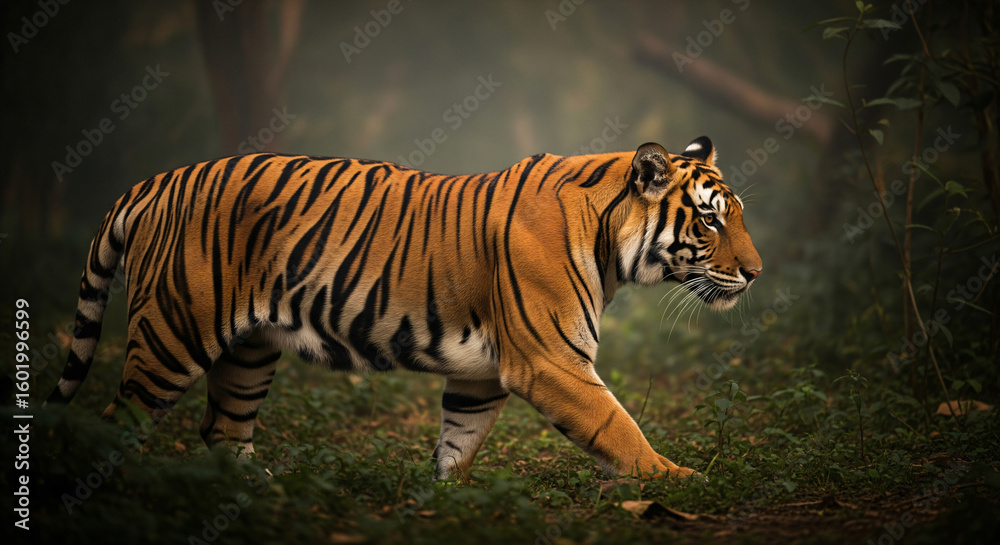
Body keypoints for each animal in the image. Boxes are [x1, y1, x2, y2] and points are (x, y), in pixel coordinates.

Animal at [45, 136, 761, 480]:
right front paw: (679, 480)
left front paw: (446, 502)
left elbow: (459, 444)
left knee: (222, 430)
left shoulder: (481, 374)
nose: (756, 274)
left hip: (248, 352)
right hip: (172, 334)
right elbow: (619, 429)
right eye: (710, 220)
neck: (610, 243)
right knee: (114, 423)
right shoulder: (551, 362)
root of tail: (155, 181)